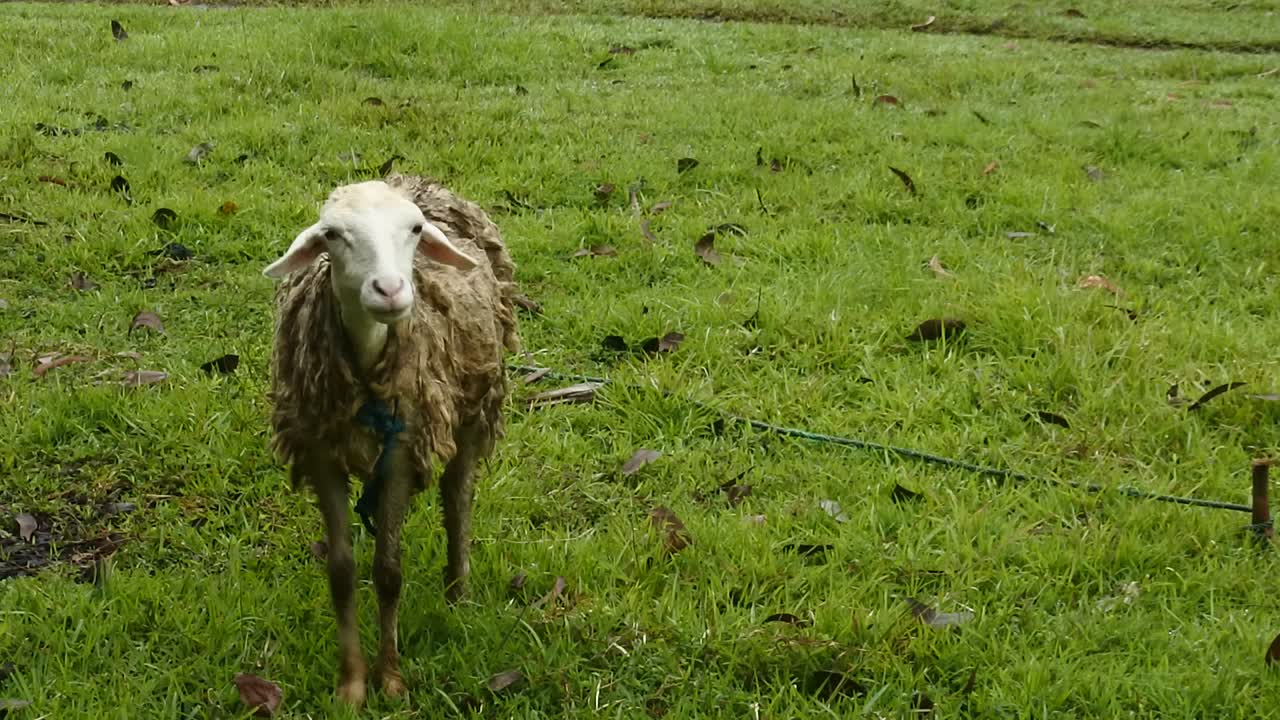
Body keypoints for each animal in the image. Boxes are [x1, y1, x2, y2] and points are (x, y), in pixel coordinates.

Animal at [262, 173, 519, 705]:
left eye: (415, 230)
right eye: (332, 235)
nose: (390, 290)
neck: (365, 364)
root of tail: (412, 179)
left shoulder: (402, 450)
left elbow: (388, 571)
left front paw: (392, 679)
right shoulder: (321, 452)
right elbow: (341, 572)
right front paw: (352, 683)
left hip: (475, 405)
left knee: (457, 495)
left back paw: (457, 592)